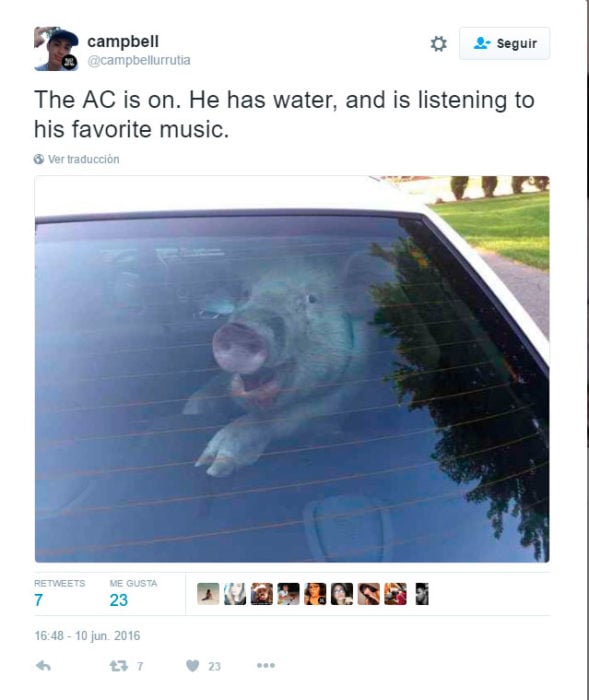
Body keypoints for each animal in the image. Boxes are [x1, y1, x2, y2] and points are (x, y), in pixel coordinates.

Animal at [183, 252, 396, 476]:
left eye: (311, 298)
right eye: (246, 293)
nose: (241, 330)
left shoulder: (350, 387)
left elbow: (293, 416)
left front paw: (212, 466)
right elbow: (205, 394)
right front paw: (192, 416)